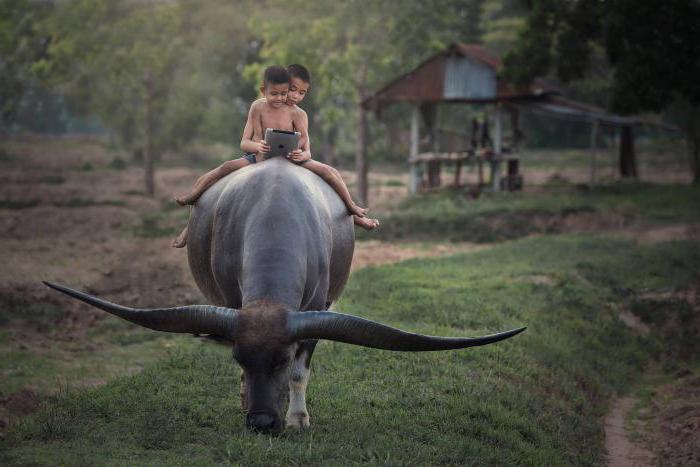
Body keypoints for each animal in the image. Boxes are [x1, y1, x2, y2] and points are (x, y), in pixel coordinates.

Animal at [43, 157, 524, 436]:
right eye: (240, 359)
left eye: (279, 359)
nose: (260, 423)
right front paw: (246, 397)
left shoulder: (315, 312)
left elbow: (300, 373)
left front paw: (297, 418)